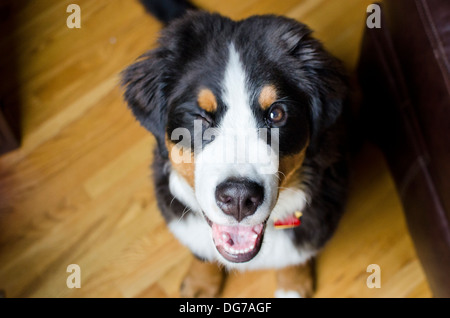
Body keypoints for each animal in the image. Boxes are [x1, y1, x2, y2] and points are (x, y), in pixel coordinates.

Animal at [122, 0, 348, 298]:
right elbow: (202, 253)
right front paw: (200, 284)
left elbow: (296, 256)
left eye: (276, 114)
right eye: (200, 117)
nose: (239, 198)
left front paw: (292, 286)